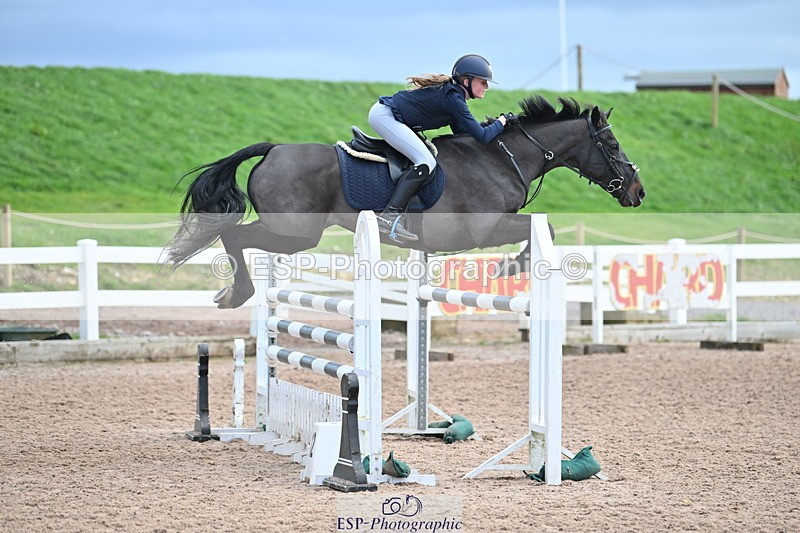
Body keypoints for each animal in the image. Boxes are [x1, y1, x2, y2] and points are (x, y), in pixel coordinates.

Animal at [168, 95, 645, 309]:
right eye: (612, 144)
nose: (638, 192)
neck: (500, 157)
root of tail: (272, 150)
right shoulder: (486, 228)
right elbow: (541, 226)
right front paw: (509, 268)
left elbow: (540, 226)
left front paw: (511, 267)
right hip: (295, 233)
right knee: (233, 235)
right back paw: (237, 293)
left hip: (291, 233)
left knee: (235, 236)